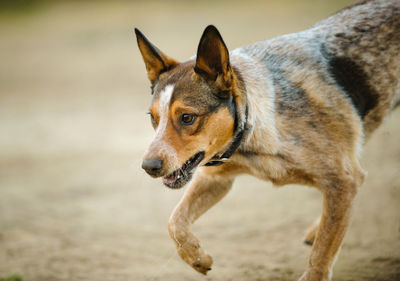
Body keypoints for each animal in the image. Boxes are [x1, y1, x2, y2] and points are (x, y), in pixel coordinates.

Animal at [135, 1, 400, 278]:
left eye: (187, 117)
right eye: (153, 118)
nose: (148, 166)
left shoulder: (343, 179)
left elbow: (322, 253)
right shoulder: (216, 178)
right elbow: (175, 220)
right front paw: (197, 257)